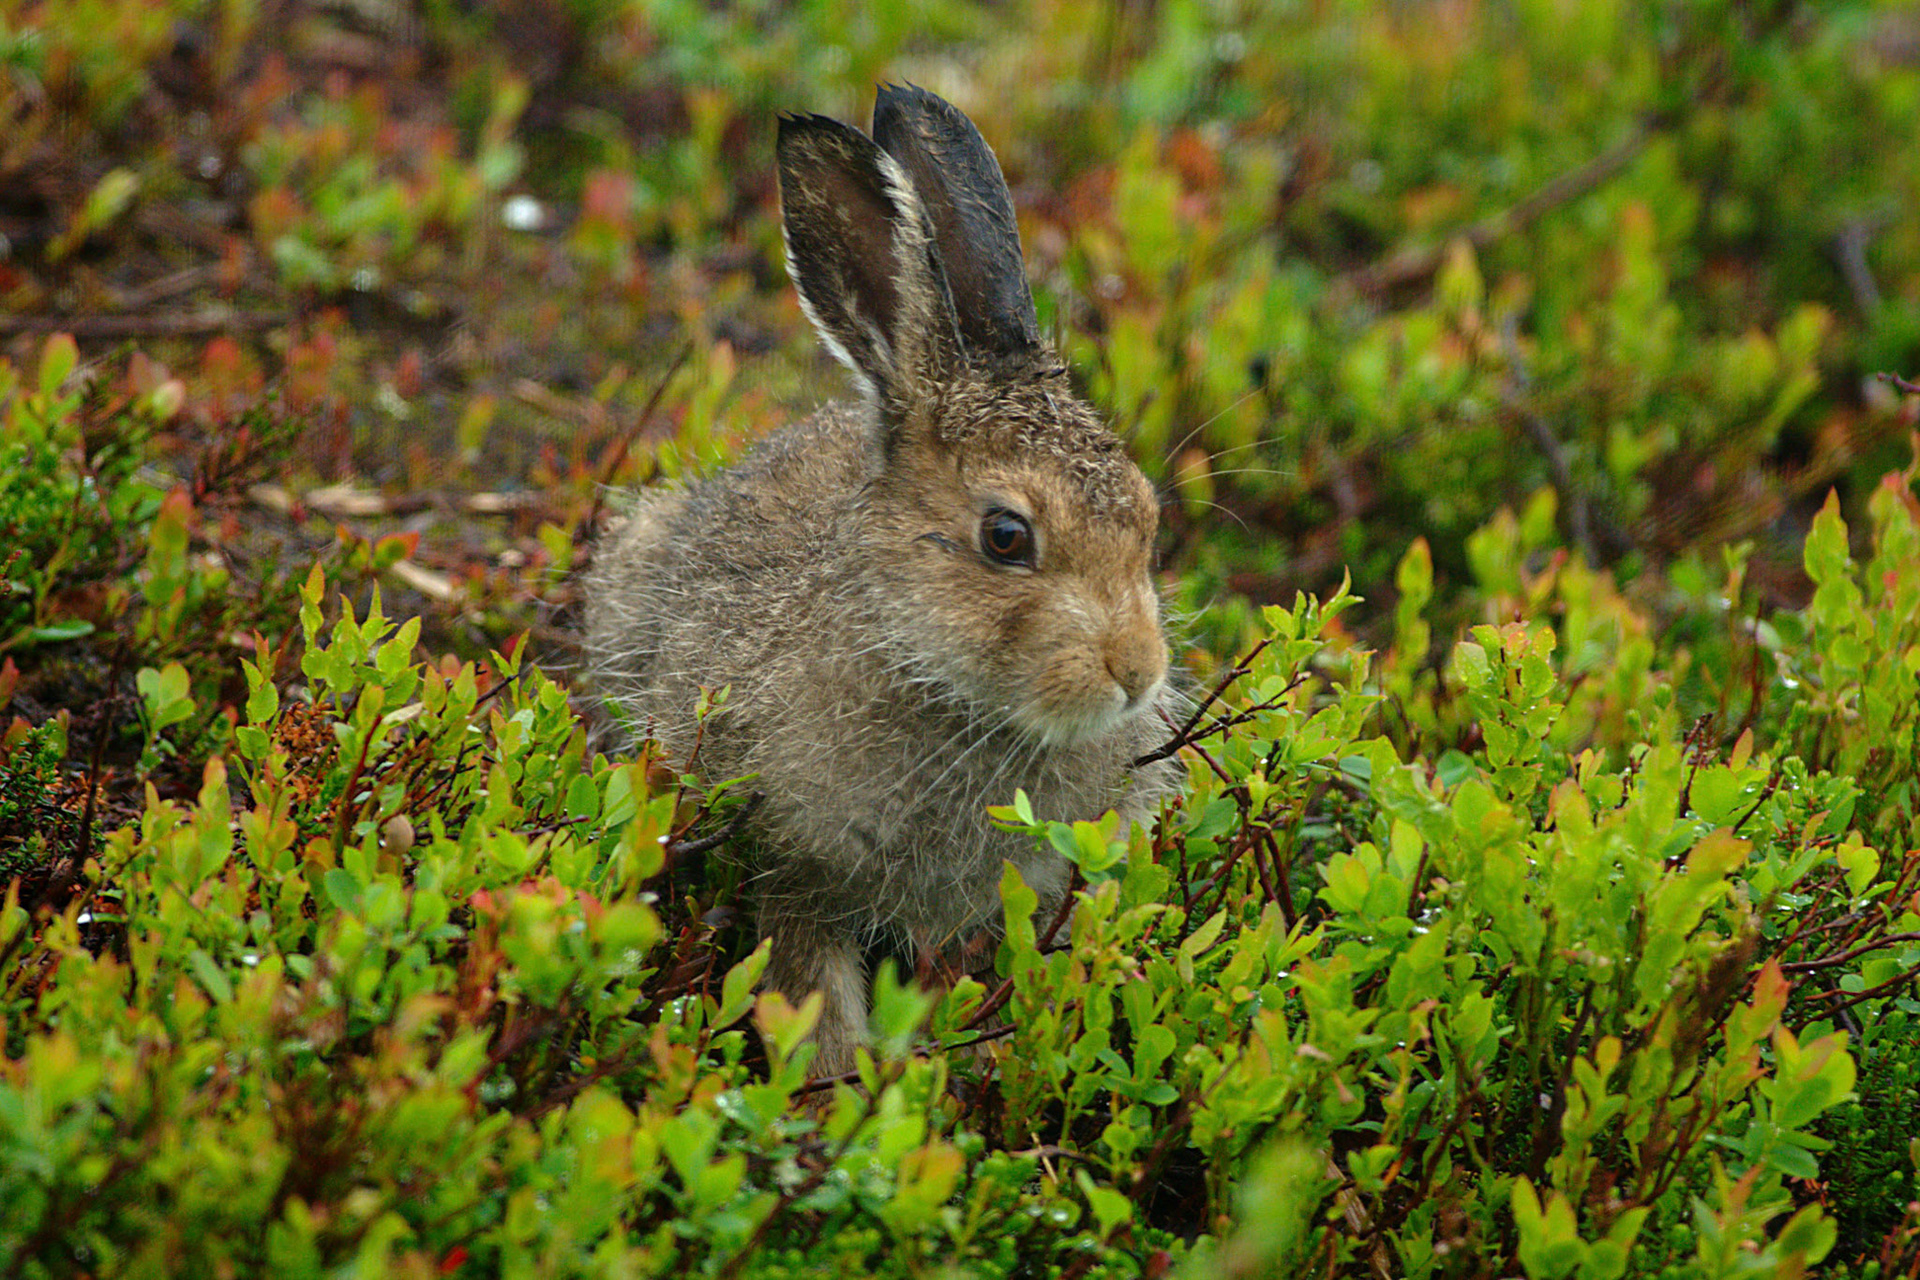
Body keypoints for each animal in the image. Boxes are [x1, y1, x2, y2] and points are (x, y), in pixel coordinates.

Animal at [585, 84, 1182, 1077]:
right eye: (1006, 537)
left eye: (1145, 513)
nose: (1135, 673)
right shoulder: (794, 863)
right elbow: (811, 996)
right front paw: (837, 1094)